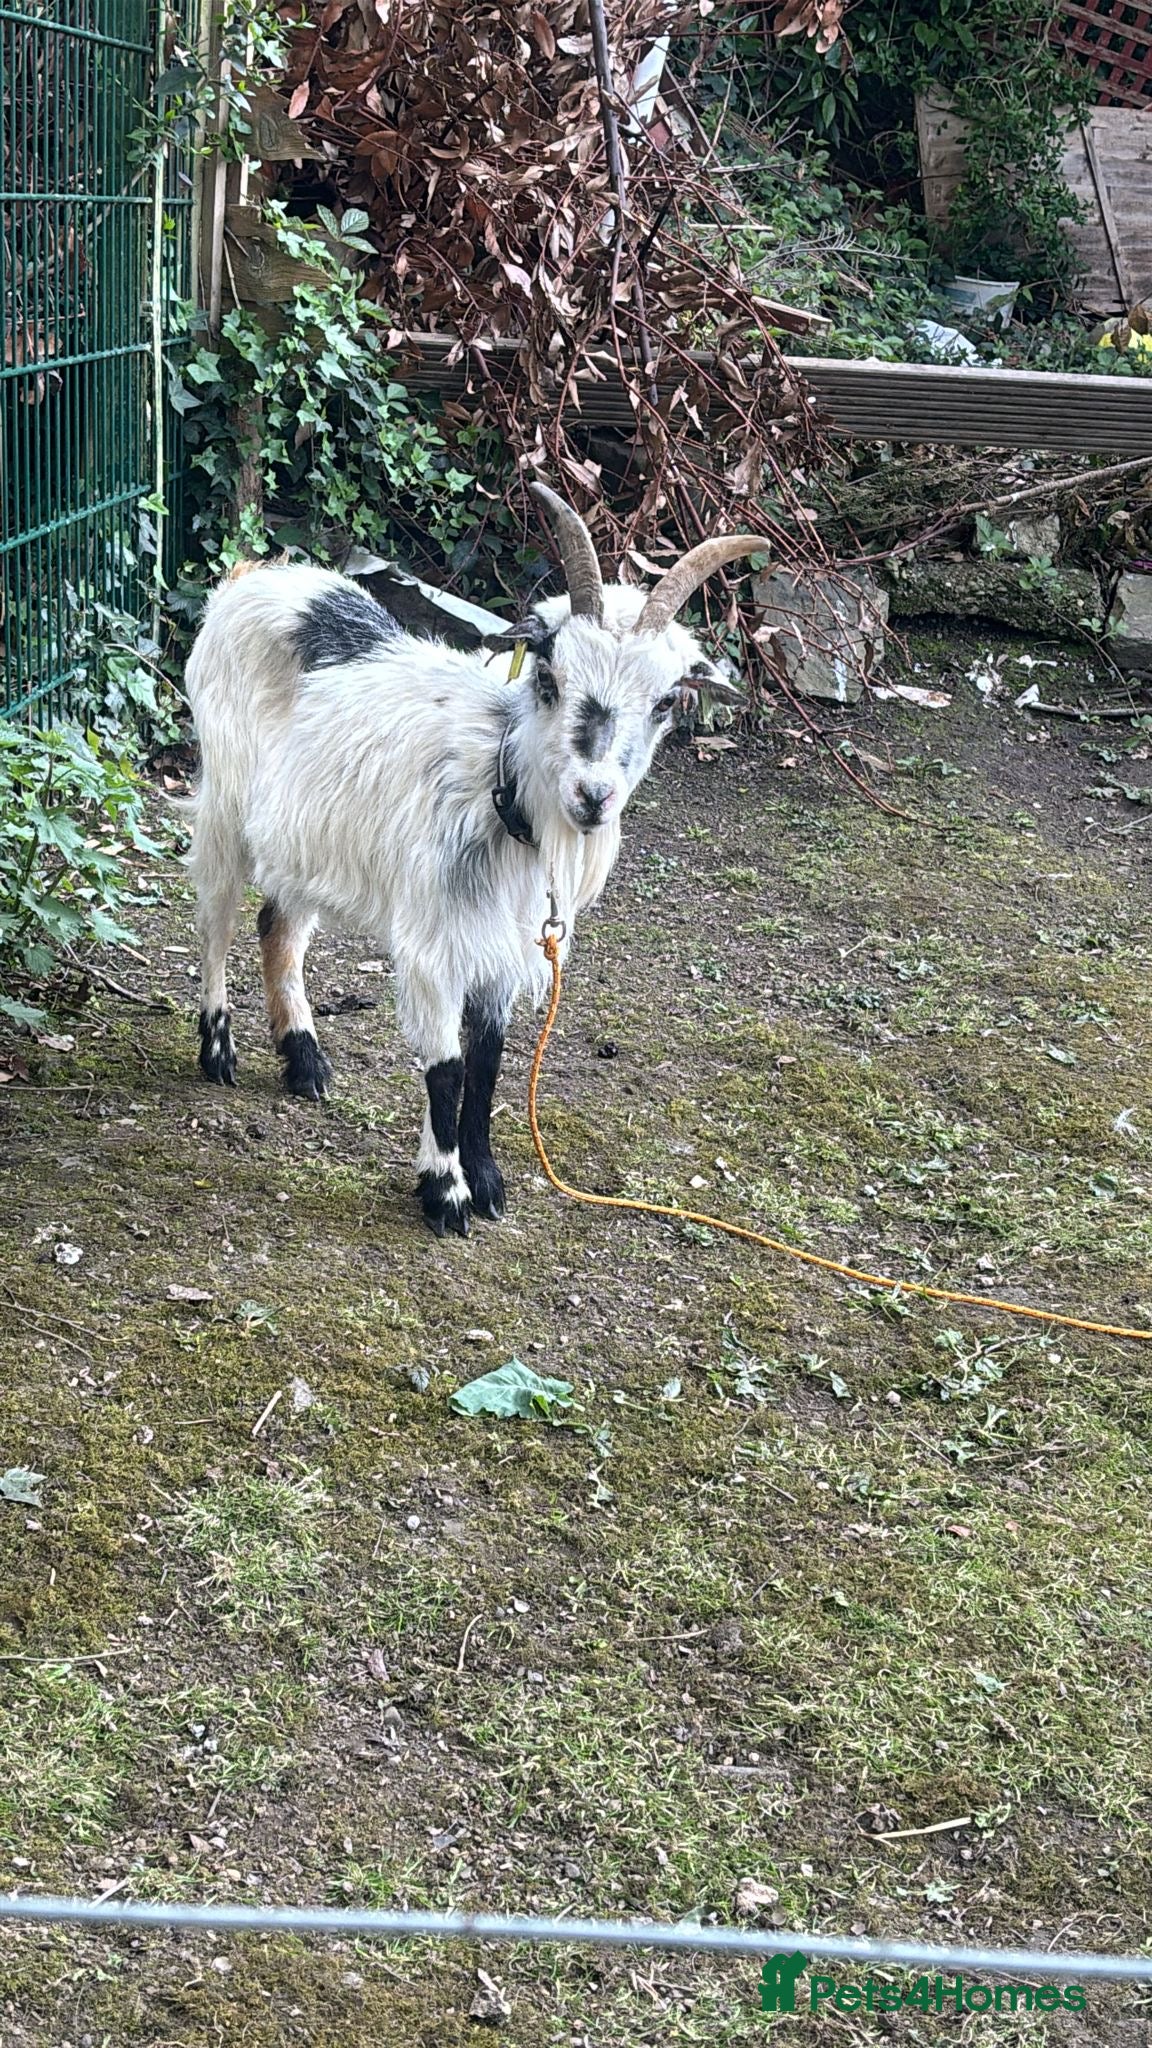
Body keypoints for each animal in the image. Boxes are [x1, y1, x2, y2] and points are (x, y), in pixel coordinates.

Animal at [185, 486, 765, 1236]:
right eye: (548, 675)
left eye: (667, 701)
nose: (593, 796)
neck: (500, 785)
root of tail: (253, 575)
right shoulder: (435, 943)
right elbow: (448, 1068)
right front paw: (445, 1192)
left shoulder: (506, 946)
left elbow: (487, 1064)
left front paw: (485, 1179)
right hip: (224, 803)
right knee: (216, 920)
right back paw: (217, 1050)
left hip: (303, 836)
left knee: (278, 929)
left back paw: (305, 1061)